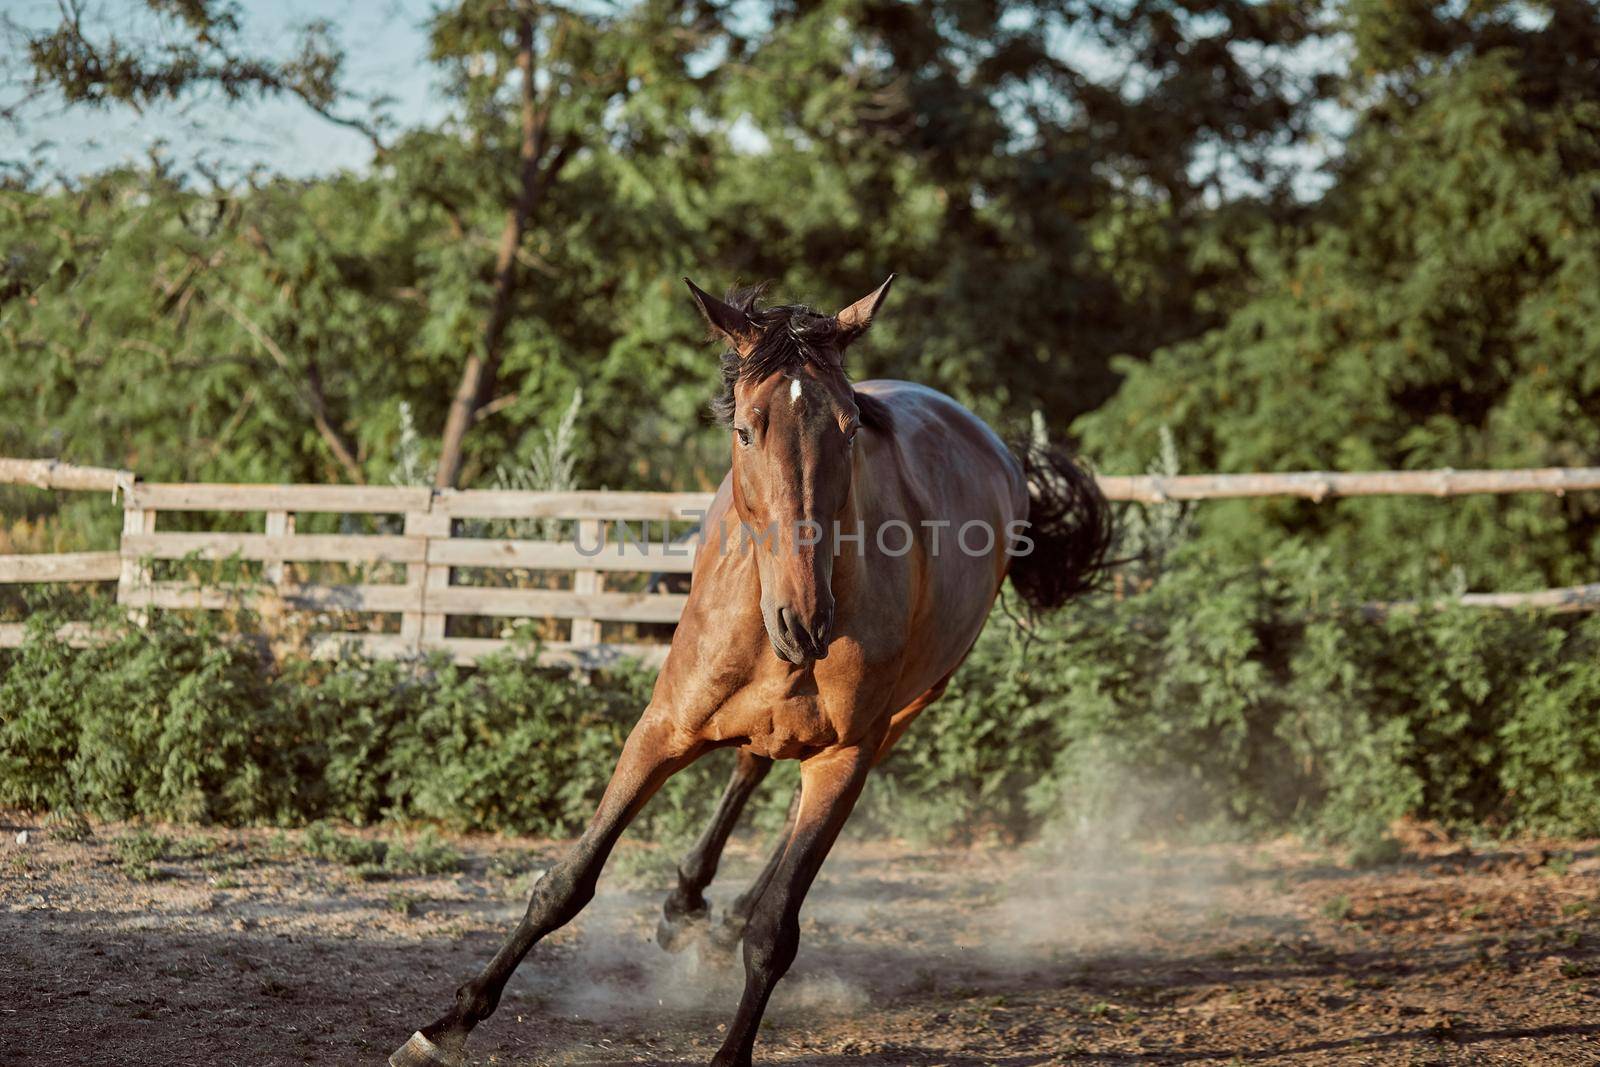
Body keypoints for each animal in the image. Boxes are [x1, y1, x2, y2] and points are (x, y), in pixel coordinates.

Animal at [390, 278, 1113, 1067]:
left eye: (849, 429)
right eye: (745, 429)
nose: (805, 623)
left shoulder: (843, 757)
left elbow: (776, 932)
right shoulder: (662, 727)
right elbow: (567, 882)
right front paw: (445, 1025)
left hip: (903, 715)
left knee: (784, 805)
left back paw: (722, 912)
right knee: (750, 766)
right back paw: (687, 903)